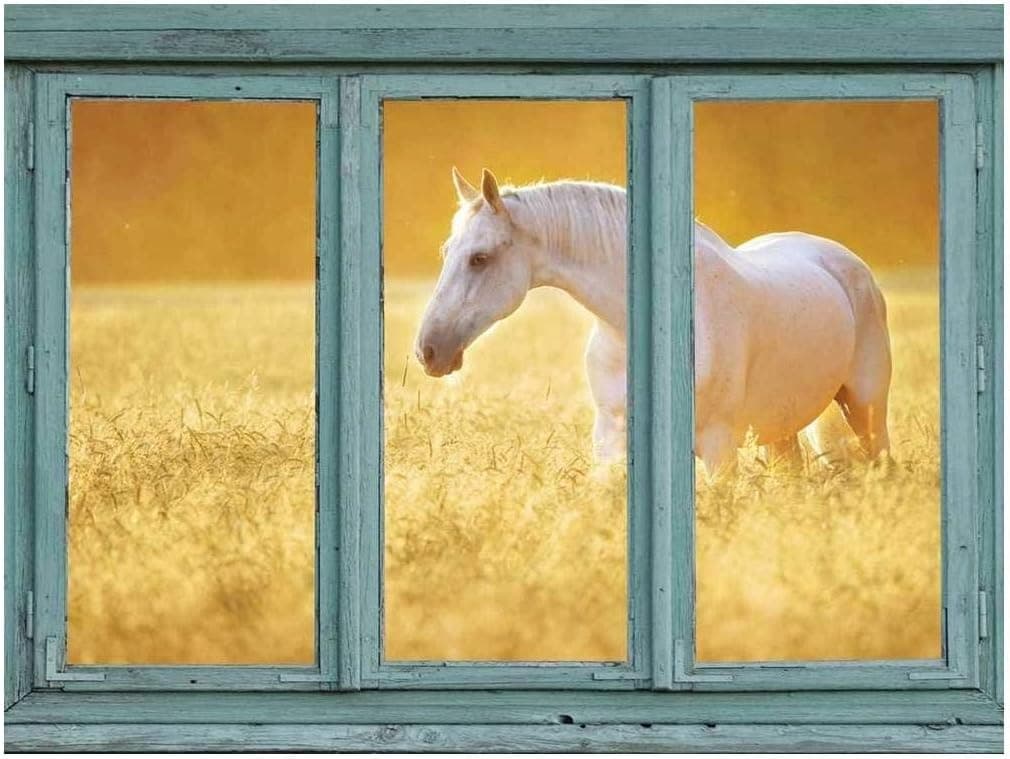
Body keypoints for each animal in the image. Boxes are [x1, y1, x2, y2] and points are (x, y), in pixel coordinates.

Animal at [414, 167, 892, 475]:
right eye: (447, 252)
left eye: (479, 258)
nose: (428, 350)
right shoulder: (609, 441)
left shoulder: (719, 449)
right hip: (780, 431)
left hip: (866, 411)